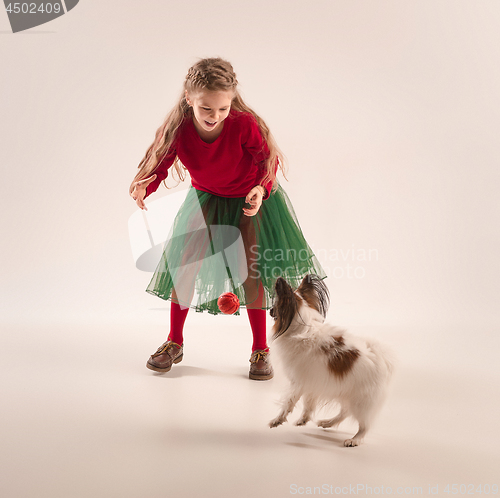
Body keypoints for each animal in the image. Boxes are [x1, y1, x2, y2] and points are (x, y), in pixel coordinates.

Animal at [270, 274, 394, 446]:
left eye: (275, 306)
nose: (269, 311)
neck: (303, 327)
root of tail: (380, 357)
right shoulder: (312, 381)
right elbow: (309, 403)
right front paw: (303, 419)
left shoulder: (298, 382)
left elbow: (289, 402)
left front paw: (277, 420)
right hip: (345, 391)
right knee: (345, 412)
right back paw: (327, 422)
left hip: (361, 401)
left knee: (364, 425)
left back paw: (354, 440)